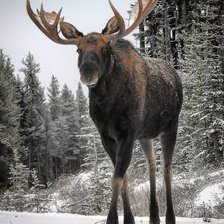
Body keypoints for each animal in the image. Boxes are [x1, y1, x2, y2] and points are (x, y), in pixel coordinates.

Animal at [26, 0, 184, 223]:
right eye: (78, 50)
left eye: (105, 48)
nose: (87, 73)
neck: (108, 106)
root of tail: (176, 75)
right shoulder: (106, 136)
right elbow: (124, 177)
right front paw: (128, 219)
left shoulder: (127, 133)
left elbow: (116, 178)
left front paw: (112, 219)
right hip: (146, 135)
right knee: (152, 162)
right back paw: (154, 215)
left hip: (171, 125)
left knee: (167, 168)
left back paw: (170, 216)